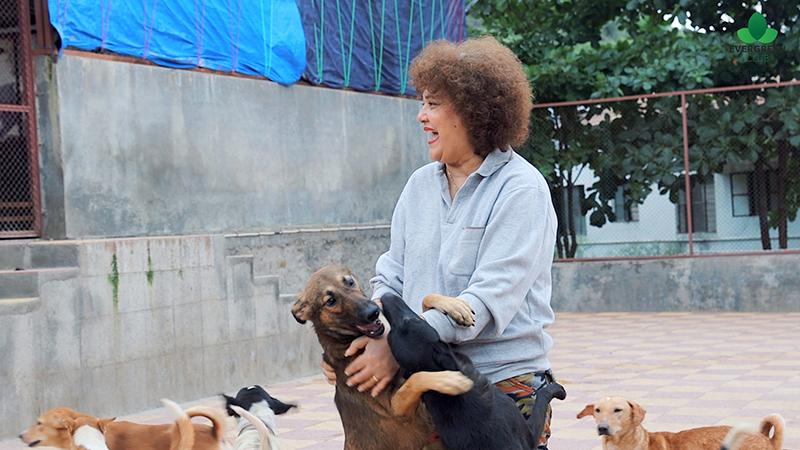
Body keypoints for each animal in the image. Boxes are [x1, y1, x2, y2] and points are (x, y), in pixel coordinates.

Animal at [292, 265, 474, 450]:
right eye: (330, 301)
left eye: (350, 282)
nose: (373, 312)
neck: (346, 341)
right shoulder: (397, 408)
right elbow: (416, 379)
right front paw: (452, 380)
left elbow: (423, 302)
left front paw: (454, 306)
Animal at [380, 292, 567, 450]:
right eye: (408, 322)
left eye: (413, 320)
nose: (385, 296)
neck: (437, 369)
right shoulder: (530, 434)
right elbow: (543, 396)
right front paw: (557, 389)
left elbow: (426, 300)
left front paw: (452, 306)